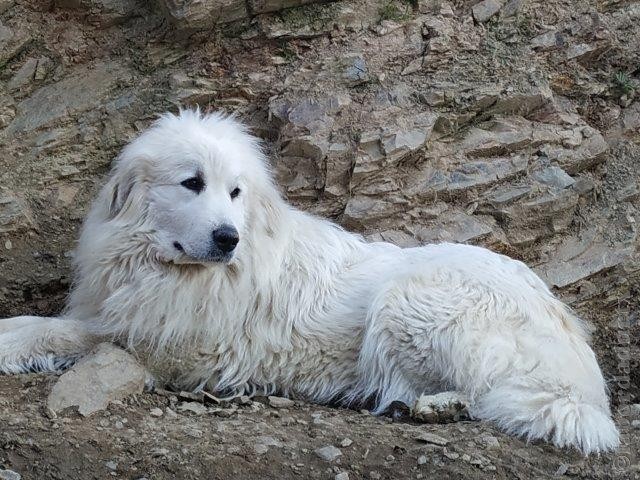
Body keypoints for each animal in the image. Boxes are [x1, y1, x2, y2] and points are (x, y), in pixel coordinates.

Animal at [0, 109, 620, 454]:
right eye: (192, 182)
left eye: (235, 192)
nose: (228, 237)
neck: (170, 269)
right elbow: (65, 321)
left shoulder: (165, 344)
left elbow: (63, 332)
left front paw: (13, 340)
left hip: (410, 296)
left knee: (484, 394)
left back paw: (431, 407)